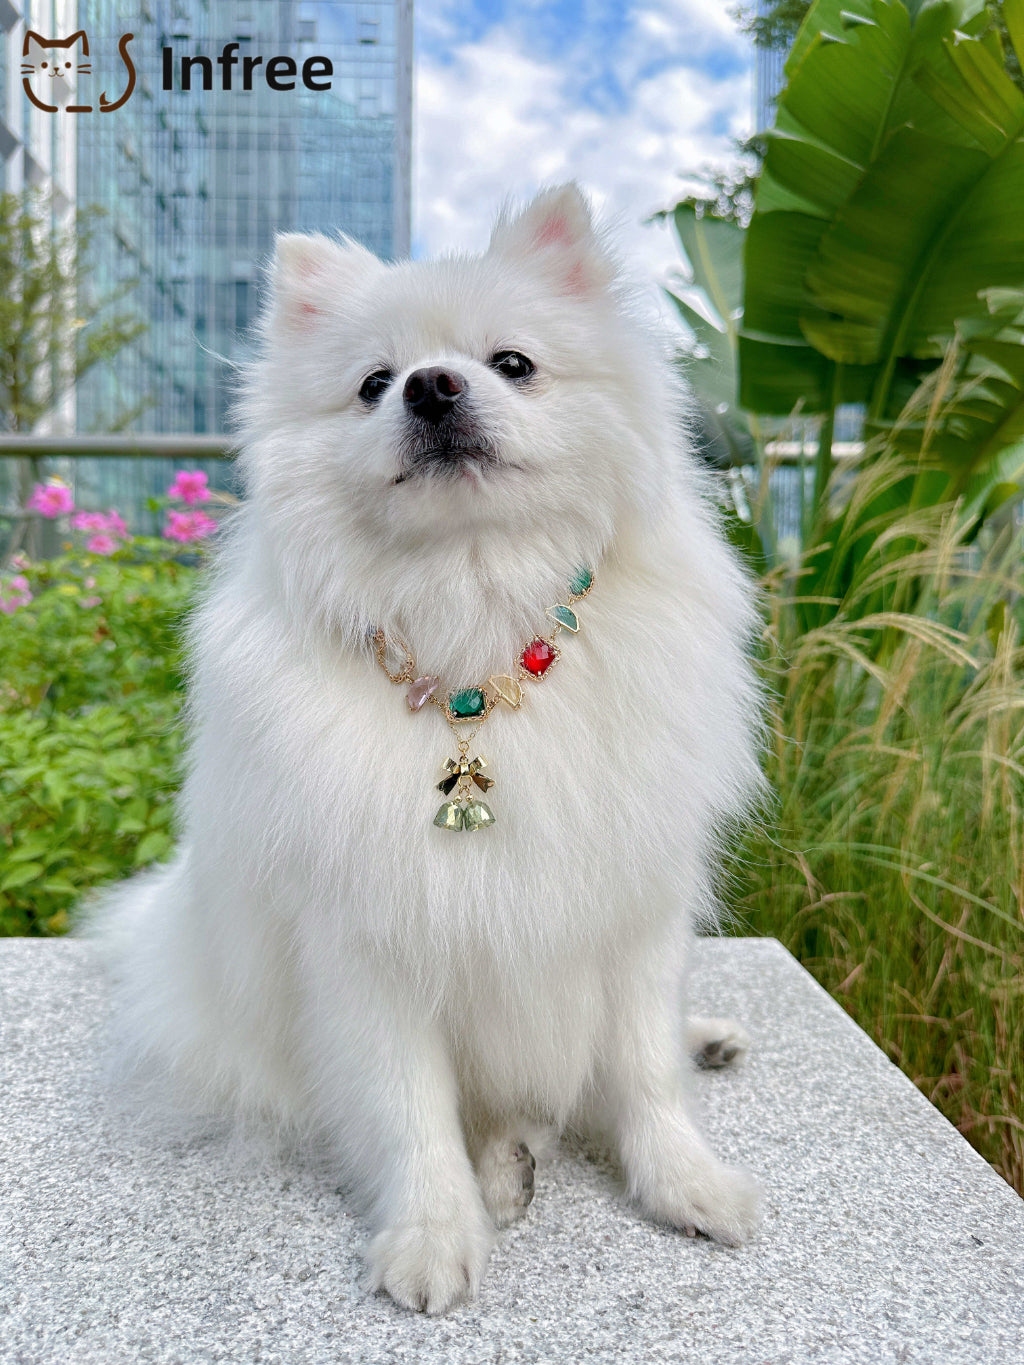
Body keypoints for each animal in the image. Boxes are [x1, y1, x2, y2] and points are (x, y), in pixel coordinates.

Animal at [88, 181, 764, 1310]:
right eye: (371, 385)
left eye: (513, 363)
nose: (432, 386)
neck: (472, 616)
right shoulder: (369, 942)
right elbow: (409, 1108)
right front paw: (433, 1231)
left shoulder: (632, 910)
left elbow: (640, 1068)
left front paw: (686, 1181)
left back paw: (694, 1044)